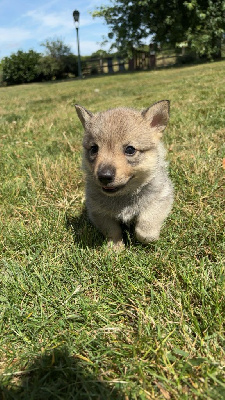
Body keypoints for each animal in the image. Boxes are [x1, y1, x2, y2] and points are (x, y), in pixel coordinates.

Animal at [74, 100, 173, 248]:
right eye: (94, 149)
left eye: (130, 150)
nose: (104, 176)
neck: (124, 197)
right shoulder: (99, 212)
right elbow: (112, 231)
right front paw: (115, 247)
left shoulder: (160, 199)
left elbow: (145, 226)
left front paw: (150, 238)